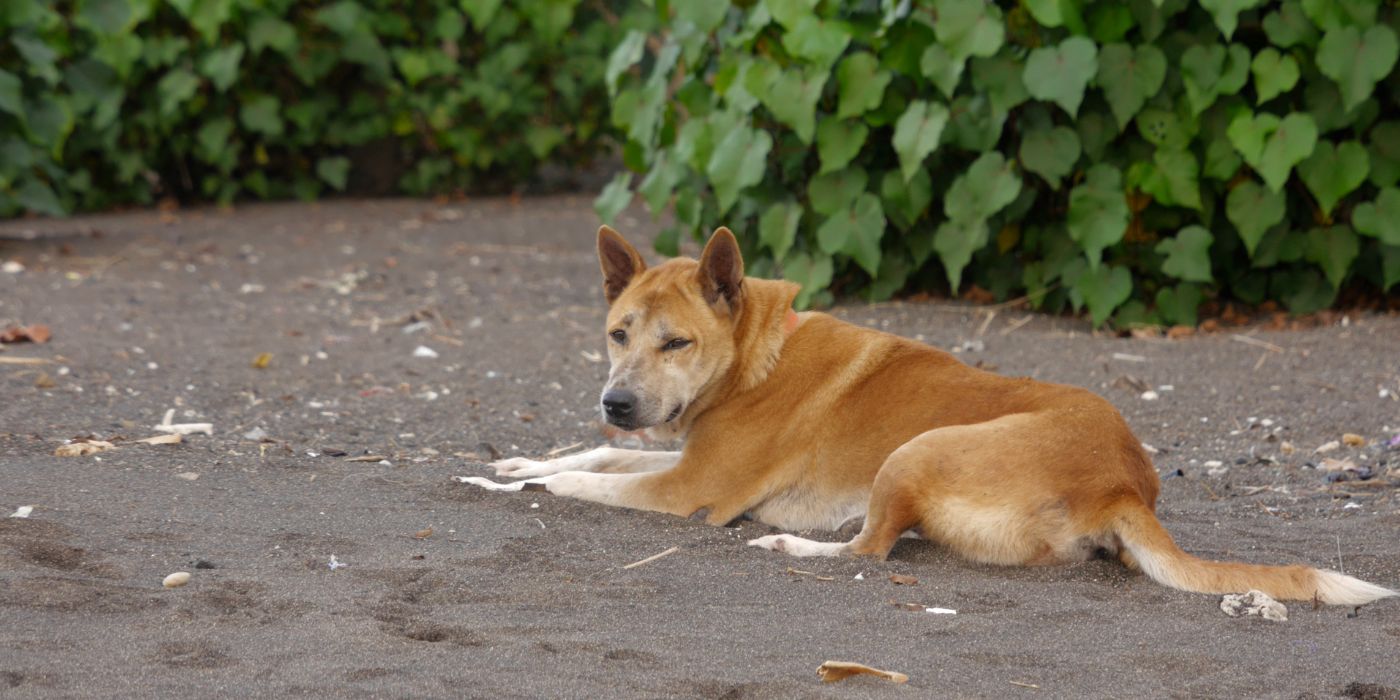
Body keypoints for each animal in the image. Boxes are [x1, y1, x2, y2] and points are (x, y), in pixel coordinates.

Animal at [464, 225, 1394, 607]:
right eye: (618, 333)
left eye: (676, 342)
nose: (617, 401)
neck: (755, 353)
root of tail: (1125, 484)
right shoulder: (675, 456)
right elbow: (593, 456)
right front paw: (517, 462)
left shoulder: (693, 491)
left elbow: (584, 483)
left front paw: (513, 484)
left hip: (914, 451)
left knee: (872, 550)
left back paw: (794, 545)